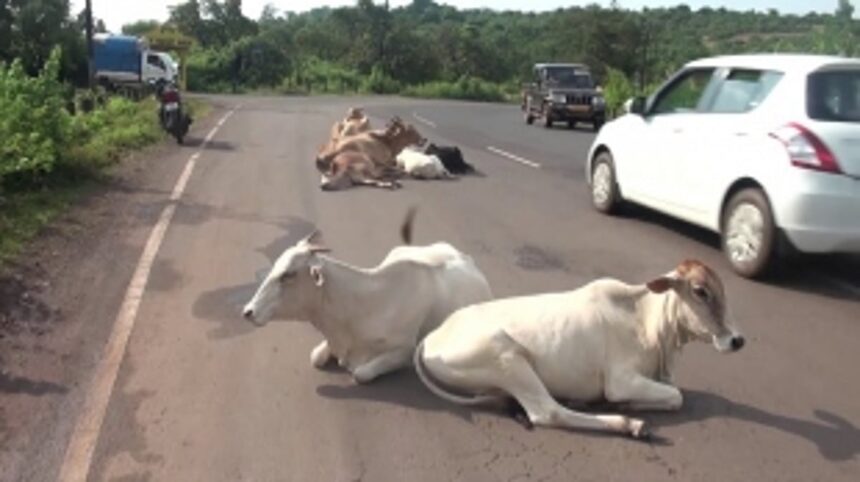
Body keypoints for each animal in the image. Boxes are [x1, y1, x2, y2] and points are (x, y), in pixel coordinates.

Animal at [241, 209, 494, 384]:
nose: (248, 311)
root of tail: (463, 256)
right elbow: (315, 357)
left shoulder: (405, 352)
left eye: (288, 274)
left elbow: (361, 373)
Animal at [413, 260, 745, 439]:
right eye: (700, 291)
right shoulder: (621, 381)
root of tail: (431, 337)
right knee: (549, 413)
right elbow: (676, 397)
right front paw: (627, 407)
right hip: (506, 357)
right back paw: (629, 425)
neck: (645, 319)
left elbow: (674, 394)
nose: (737, 340)